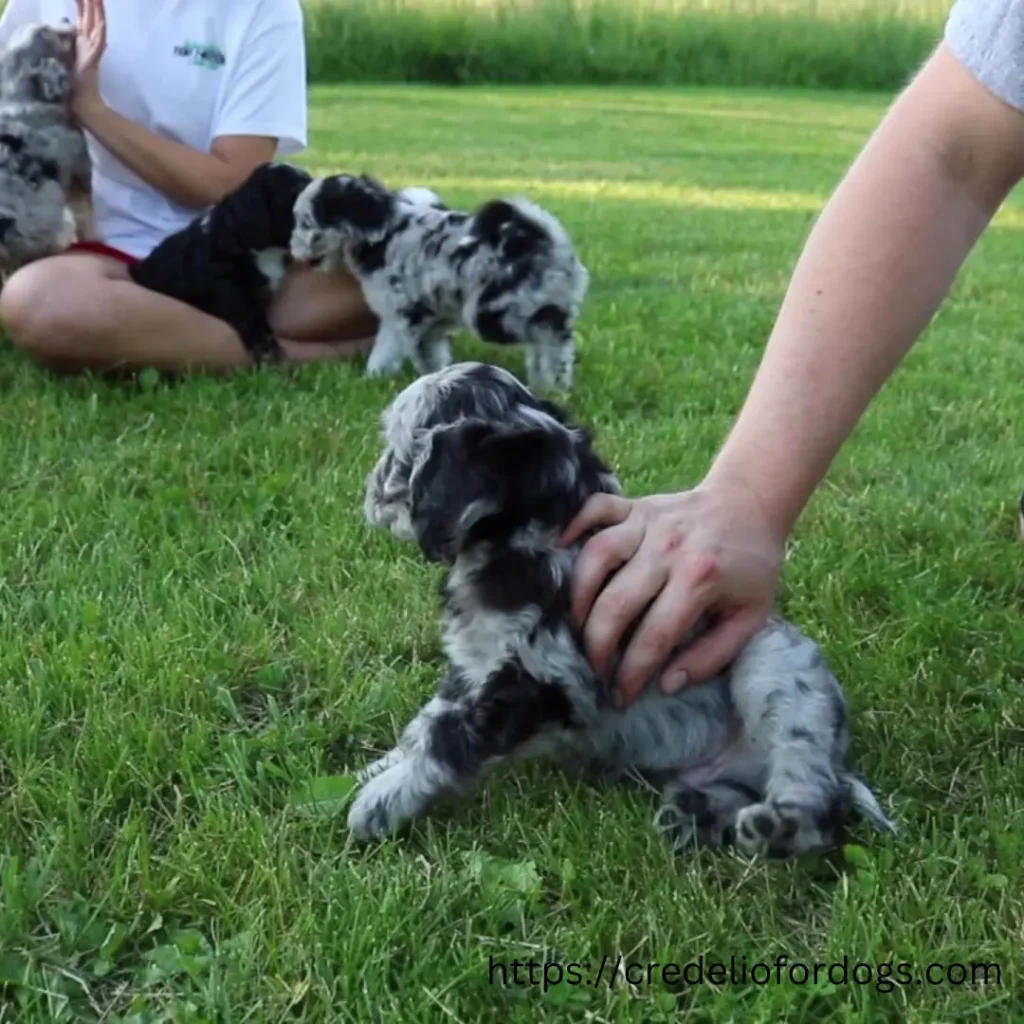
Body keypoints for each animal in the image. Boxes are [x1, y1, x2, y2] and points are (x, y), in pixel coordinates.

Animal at [292, 174, 589, 389]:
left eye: (306, 224)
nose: (293, 248)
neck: (385, 233)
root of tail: (546, 242)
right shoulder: (423, 320)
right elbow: (423, 352)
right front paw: (434, 376)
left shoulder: (404, 316)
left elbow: (396, 352)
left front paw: (379, 378)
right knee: (555, 341)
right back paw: (550, 384)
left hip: (495, 314)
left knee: (548, 335)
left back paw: (549, 380)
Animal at [346, 364, 897, 860]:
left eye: (400, 455)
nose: (366, 491)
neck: (529, 539)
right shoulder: (473, 669)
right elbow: (427, 723)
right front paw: (381, 766)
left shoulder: (538, 680)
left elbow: (449, 739)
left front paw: (381, 800)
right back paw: (694, 816)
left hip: (775, 673)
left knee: (816, 797)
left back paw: (778, 827)